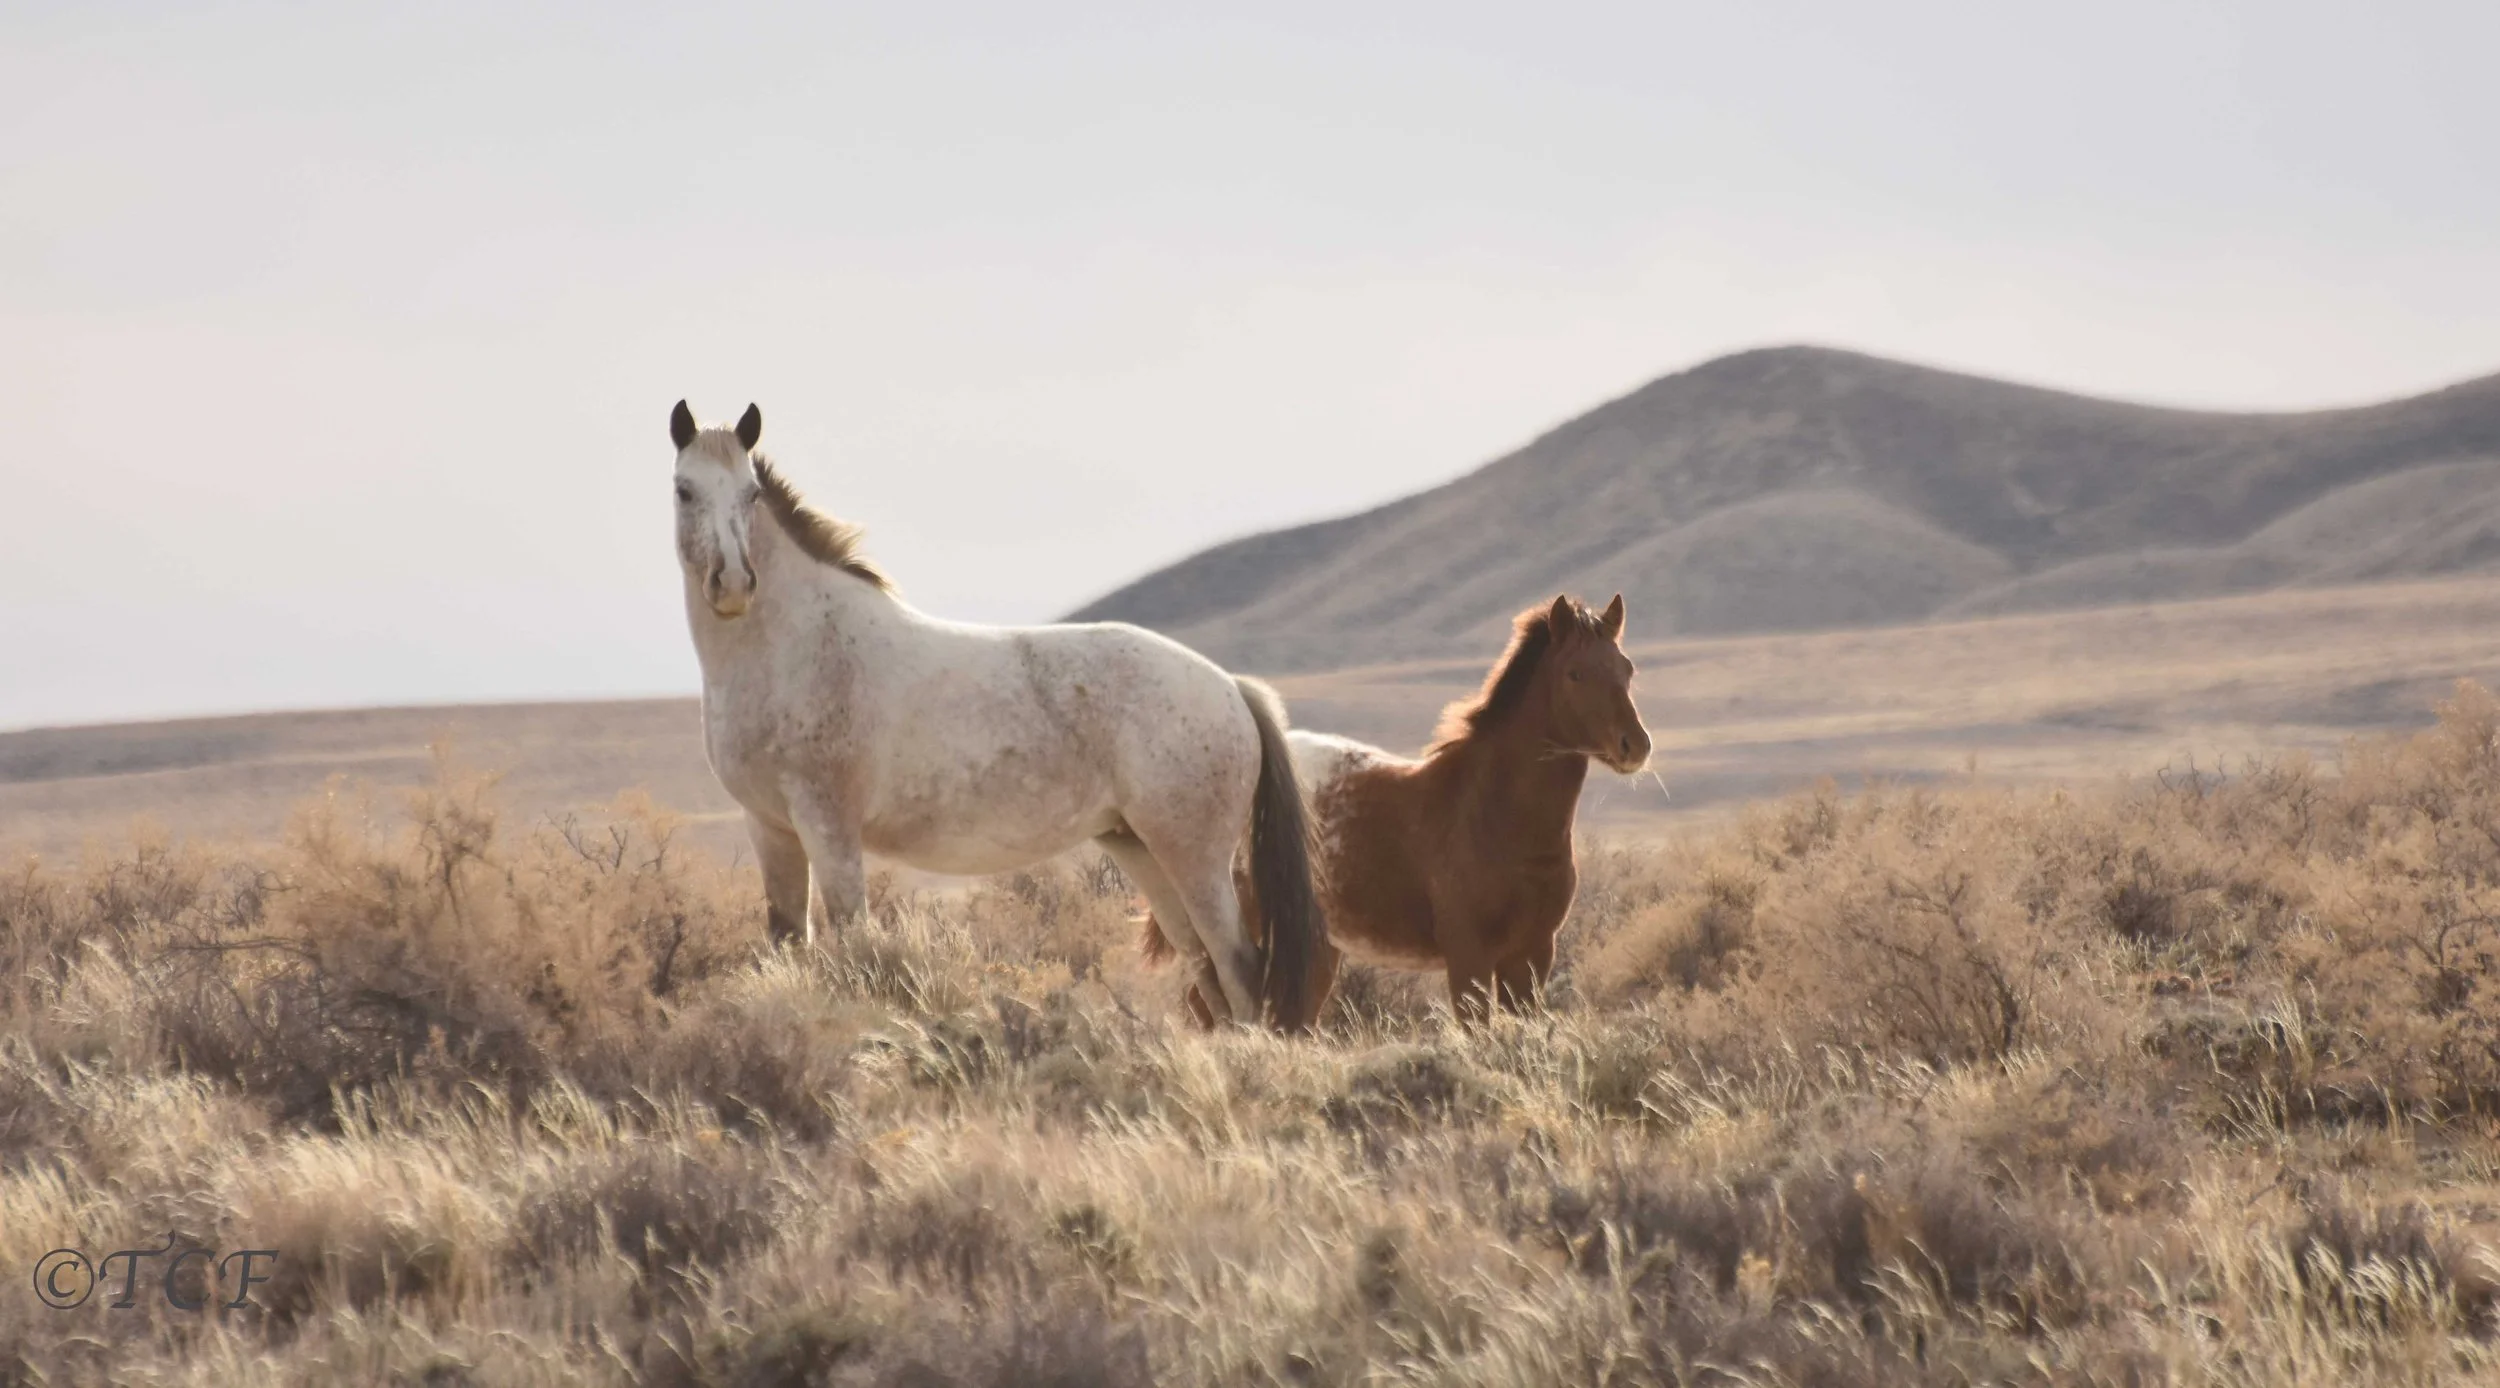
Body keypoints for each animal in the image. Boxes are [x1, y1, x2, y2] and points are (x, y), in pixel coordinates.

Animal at [667, 400, 1323, 1030]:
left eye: (751, 493)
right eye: (684, 489)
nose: (733, 584)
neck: (795, 643)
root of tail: (1233, 689)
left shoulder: (829, 827)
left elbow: (853, 944)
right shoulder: (770, 827)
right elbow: (787, 940)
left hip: (1196, 859)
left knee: (1239, 967)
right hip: (1146, 854)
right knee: (1207, 970)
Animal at [1146, 594, 1653, 1024]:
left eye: (1627, 668)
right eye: (1575, 673)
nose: (1636, 745)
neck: (1493, 817)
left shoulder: (1532, 953)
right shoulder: (1467, 956)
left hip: (1313, 945)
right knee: (1209, 1006)